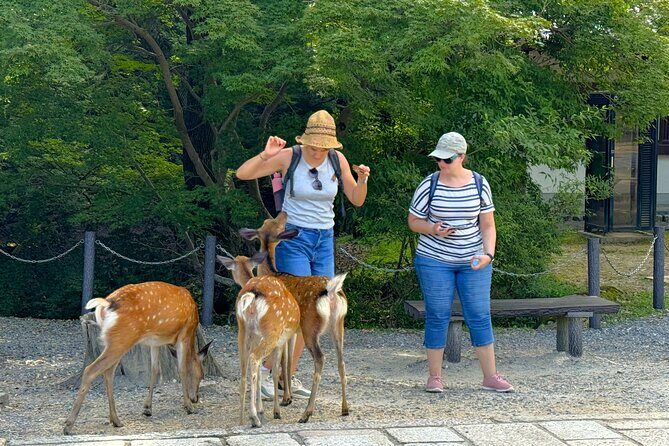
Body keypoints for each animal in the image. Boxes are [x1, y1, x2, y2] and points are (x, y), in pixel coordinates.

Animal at [63, 281, 212, 435]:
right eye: (202, 375)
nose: (196, 398)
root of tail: (106, 303)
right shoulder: (185, 333)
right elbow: (182, 369)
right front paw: (189, 407)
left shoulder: (155, 342)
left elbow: (154, 369)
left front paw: (147, 408)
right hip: (123, 338)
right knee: (91, 370)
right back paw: (68, 425)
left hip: (114, 342)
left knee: (108, 372)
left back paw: (116, 420)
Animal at [217, 251, 301, 427]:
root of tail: (251, 295)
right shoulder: (280, 341)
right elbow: (277, 369)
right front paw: (277, 409)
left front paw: (263, 409)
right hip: (272, 332)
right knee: (255, 359)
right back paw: (255, 417)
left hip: (242, 333)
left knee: (244, 370)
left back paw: (242, 419)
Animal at [239, 211, 349, 423]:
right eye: (270, 221)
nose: (284, 212)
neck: (274, 272)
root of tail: (331, 291)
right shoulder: (292, 332)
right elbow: (288, 360)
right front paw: (287, 396)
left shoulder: (289, 331)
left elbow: (284, 360)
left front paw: (285, 399)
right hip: (338, 325)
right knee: (341, 362)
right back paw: (345, 408)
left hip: (310, 327)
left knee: (320, 358)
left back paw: (306, 413)